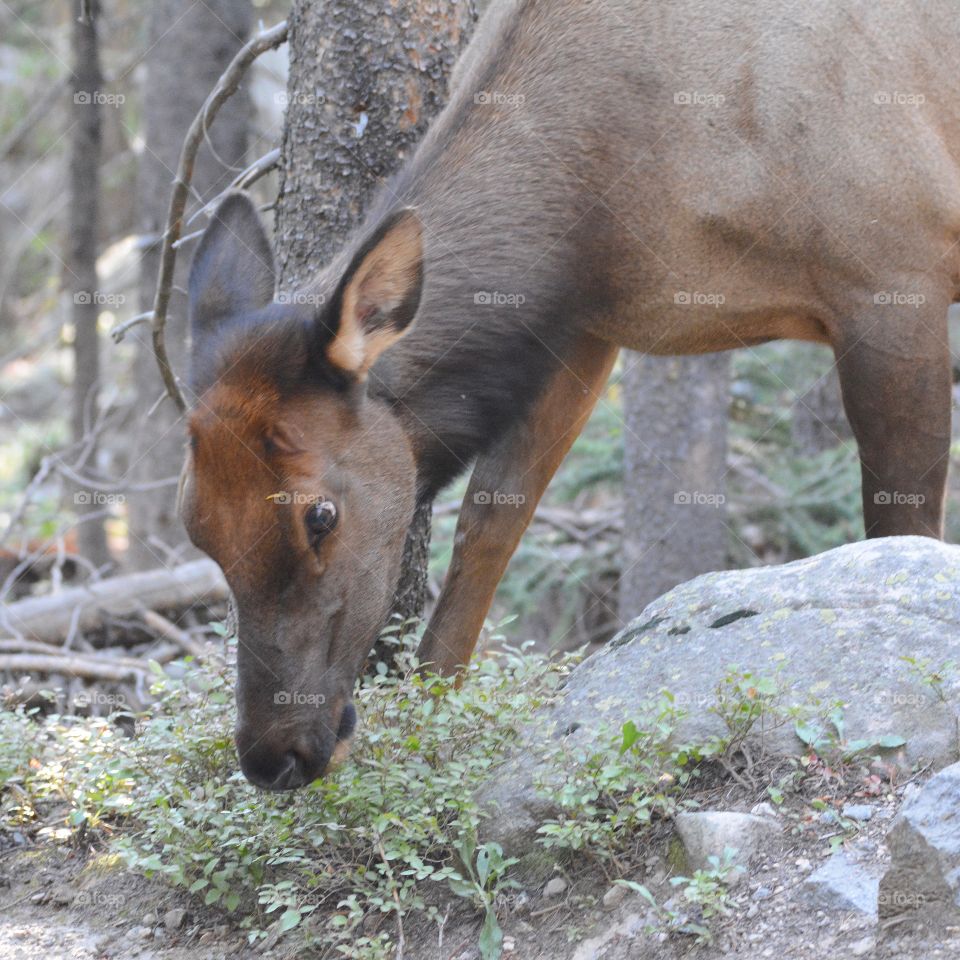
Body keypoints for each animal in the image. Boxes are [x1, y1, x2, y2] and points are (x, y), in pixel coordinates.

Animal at [180, 0, 960, 789]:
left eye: (321, 514)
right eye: (196, 527)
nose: (273, 755)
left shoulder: (895, 278)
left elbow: (902, 530)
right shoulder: (583, 329)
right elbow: (489, 524)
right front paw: (436, 710)